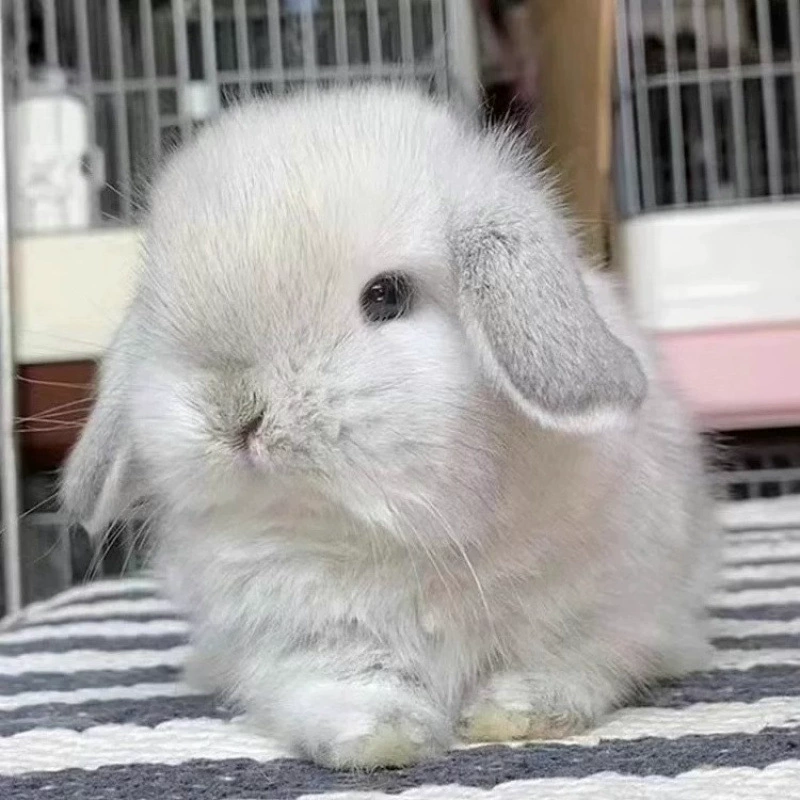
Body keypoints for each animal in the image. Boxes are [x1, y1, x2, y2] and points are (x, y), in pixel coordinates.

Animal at [61, 85, 719, 770]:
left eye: (386, 296)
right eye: (160, 309)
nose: (236, 412)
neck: (403, 534)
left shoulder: (608, 611)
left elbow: (571, 665)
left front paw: (515, 715)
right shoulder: (304, 644)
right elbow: (350, 686)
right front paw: (384, 740)